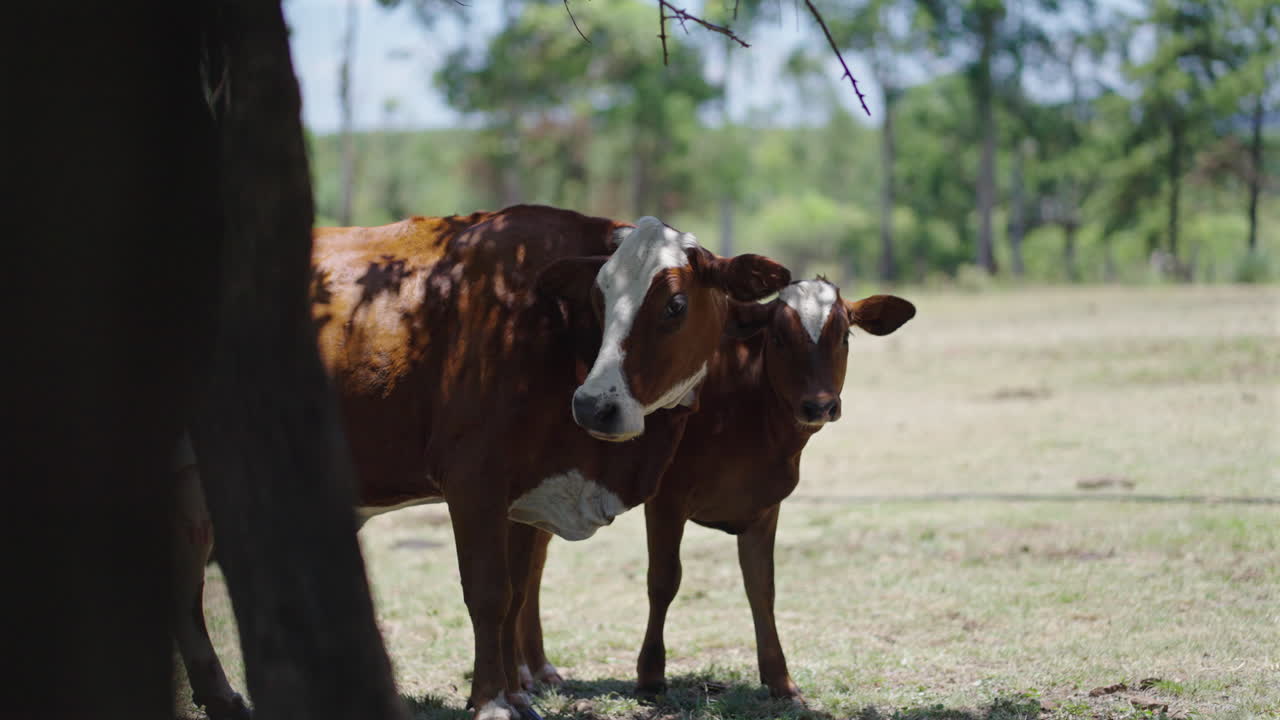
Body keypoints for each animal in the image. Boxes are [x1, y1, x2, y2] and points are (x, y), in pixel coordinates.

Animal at [172, 205, 791, 720]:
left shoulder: (524, 493)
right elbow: (489, 594)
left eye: (676, 305)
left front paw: (517, 695)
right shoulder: (474, 482)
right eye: (597, 302)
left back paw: (220, 696)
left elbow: (516, 596)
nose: (595, 404)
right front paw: (491, 701)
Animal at [514, 278, 915, 701]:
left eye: (845, 336)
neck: (748, 409)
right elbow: (663, 580)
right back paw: (522, 673)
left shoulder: (765, 505)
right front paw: (650, 674)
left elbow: (762, 587)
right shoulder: (667, 500)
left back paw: (540, 668)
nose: (819, 406)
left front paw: (780, 679)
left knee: (533, 565)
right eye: (778, 337)